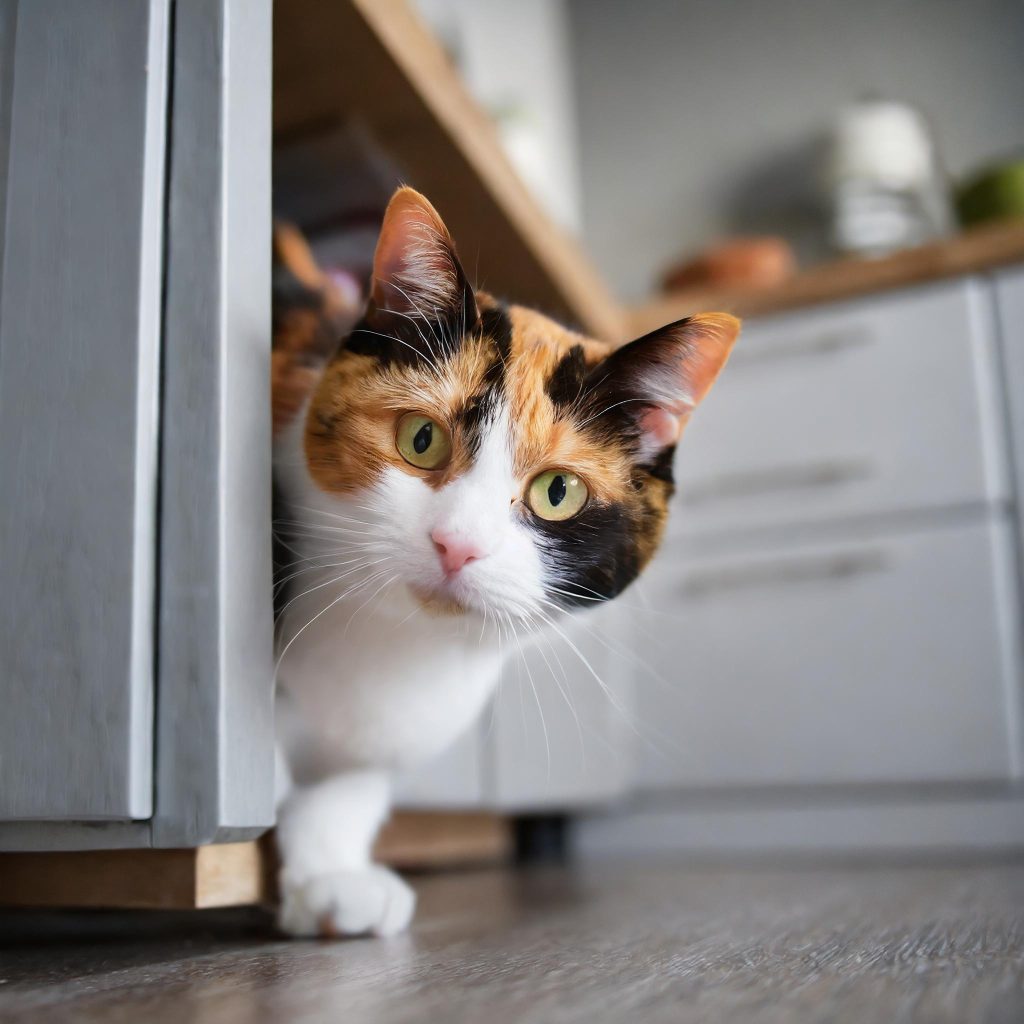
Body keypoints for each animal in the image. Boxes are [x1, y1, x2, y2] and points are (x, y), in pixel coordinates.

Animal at [270, 188, 737, 937]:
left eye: (558, 492)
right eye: (421, 439)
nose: (456, 544)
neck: (396, 647)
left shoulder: (383, 739)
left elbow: (347, 790)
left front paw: (330, 880)